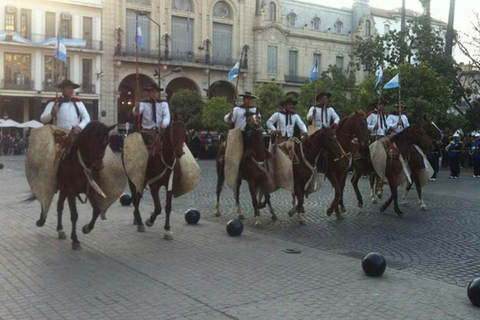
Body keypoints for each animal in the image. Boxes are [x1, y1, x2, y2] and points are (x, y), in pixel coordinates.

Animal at [35, 122, 117, 250]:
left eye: (107, 142)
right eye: (94, 140)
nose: (98, 166)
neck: (80, 165)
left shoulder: (90, 191)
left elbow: (97, 210)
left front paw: (86, 228)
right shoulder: (72, 192)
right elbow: (74, 215)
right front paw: (75, 240)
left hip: (63, 190)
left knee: (59, 206)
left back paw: (60, 230)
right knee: (46, 200)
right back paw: (41, 220)